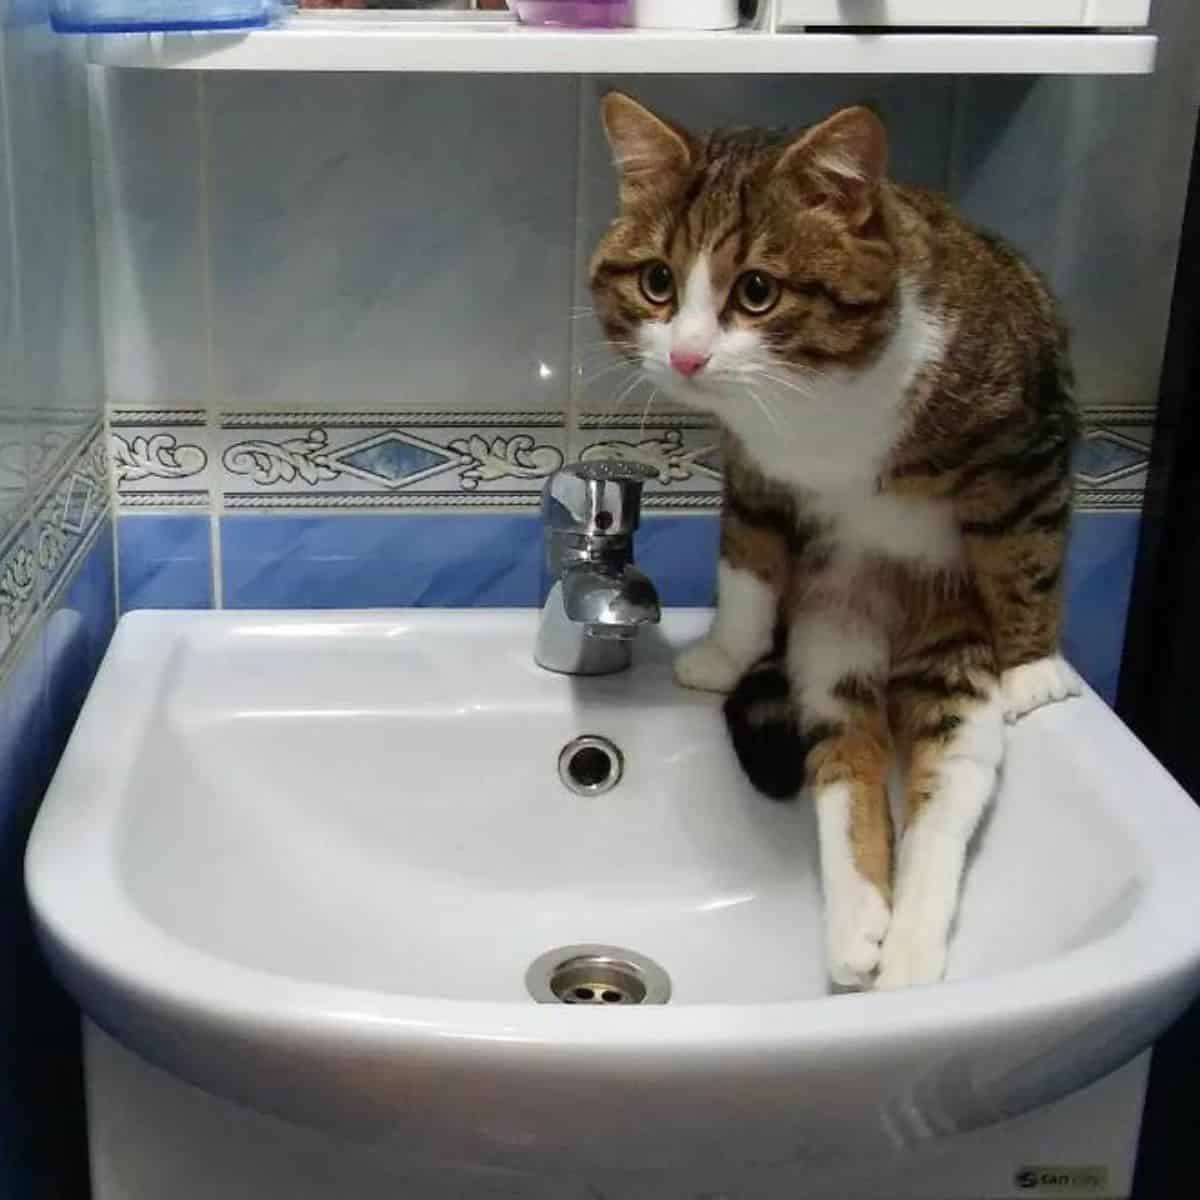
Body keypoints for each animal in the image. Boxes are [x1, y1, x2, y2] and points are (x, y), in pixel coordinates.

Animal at [588, 93, 1080, 993]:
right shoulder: (754, 467)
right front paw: (724, 654)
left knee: (946, 788)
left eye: (757, 291)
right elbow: (747, 557)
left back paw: (910, 949)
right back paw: (857, 925)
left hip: (951, 635)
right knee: (846, 755)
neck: (815, 404)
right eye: (657, 282)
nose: (687, 356)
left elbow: (1025, 545)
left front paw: (1034, 665)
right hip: (828, 632)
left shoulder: (1025, 436)